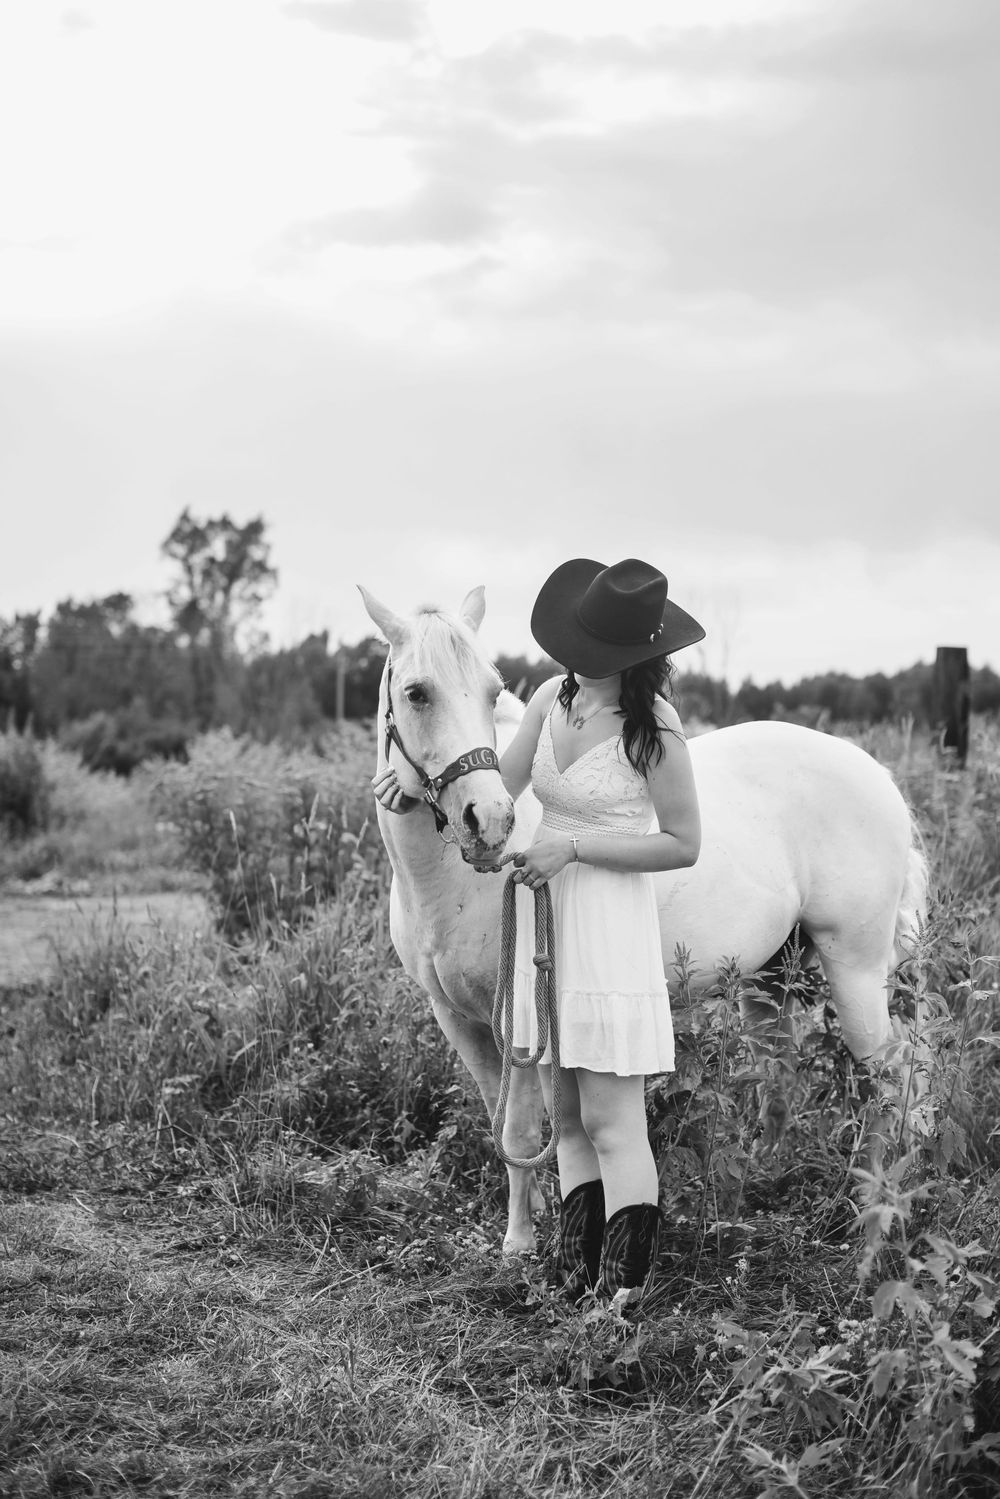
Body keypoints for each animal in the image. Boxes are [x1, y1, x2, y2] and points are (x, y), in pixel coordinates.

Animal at [359, 584, 928, 1254]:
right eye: (416, 692)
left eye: (491, 691)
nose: (489, 821)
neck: (445, 885)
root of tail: (878, 775)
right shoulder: (456, 1019)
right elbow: (506, 1128)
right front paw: (535, 1219)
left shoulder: (519, 1021)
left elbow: (522, 1131)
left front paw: (519, 1245)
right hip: (770, 977)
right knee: (782, 1076)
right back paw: (754, 1188)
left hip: (857, 968)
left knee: (888, 1078)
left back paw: (872, 1215)